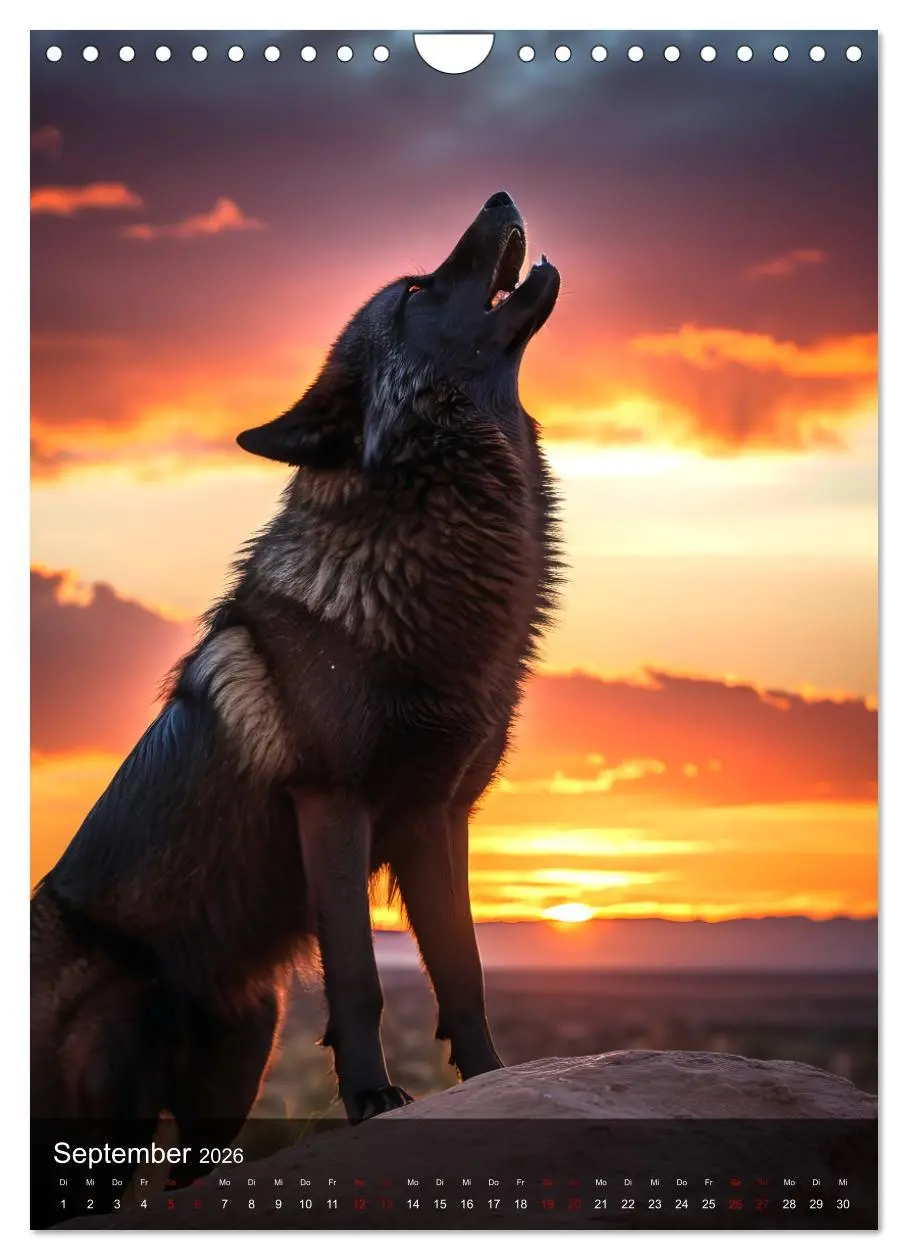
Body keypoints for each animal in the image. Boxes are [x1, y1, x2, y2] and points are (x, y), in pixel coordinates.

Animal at [31, 191, 561, 1164]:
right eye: (417, 289)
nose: (501, 196)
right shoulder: (334, 803)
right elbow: (358, 977)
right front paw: (373, 1098)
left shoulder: (438, 818)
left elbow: (462, 969)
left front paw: (492, 1079)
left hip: (236, 1071)